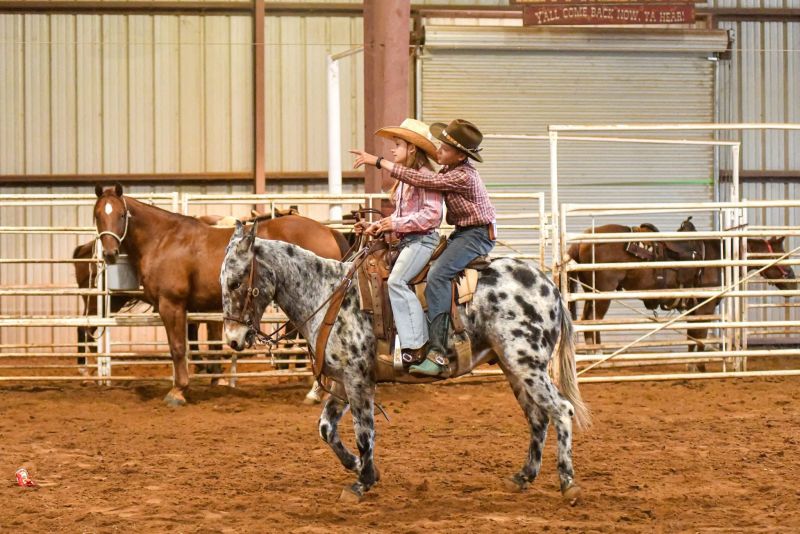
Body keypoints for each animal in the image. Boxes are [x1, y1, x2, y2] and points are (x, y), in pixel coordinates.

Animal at [92, 184, 349, 406]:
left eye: (121, 215)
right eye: (97, 215)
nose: (110, 253)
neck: (164, 239)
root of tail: (327, 230)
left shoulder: (171, 305)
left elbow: (178, 348)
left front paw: (178, 391)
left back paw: (318, 394)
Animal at [220, 223, 590, 503]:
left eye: (235, 282)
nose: (233, 339)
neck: (327, 294)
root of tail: (550, 286)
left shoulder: (358, 379)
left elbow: (365, 430)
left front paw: (363, 481)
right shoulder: (341, 381)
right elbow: (326, 428)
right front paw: (355, 465)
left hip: (527, 365)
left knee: (561, 411)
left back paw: (568, 483)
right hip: (514, 368)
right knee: (537, 417)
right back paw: (522, 476)